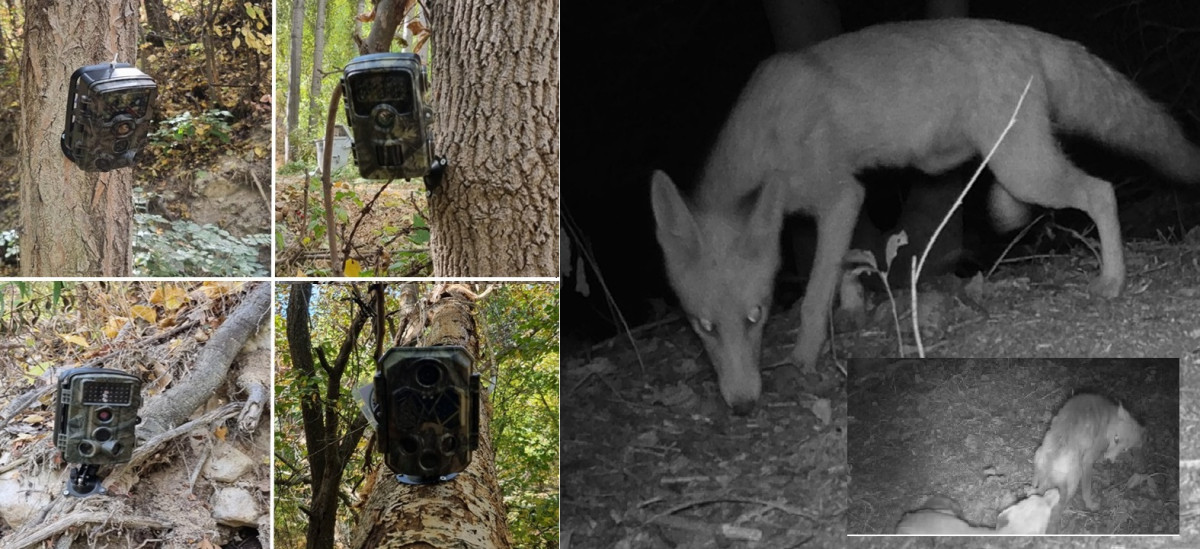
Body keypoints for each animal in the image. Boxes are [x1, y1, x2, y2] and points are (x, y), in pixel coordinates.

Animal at [652, 18, 1200, 412]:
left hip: (1026, 170)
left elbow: (813, 294)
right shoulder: (838, 201)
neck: (768, 132)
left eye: (756, 315)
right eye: (704, 327)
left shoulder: (840, 194)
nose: (743, 405)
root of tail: (1025, 33)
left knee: (1101, 191)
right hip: (1015, 161)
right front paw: (852, 304)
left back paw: (1113, 279)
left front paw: (805, 358)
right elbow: (847, 261)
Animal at [1032, 393, 1142, 534]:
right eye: (1116, 439)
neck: (1109, 419)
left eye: (1125, 449)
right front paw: (1091, 505)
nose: (1109, 460)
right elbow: (1087, 490)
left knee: (1034, 485)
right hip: (1074, 480)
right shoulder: (1088, 459)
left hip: (1038, 456)